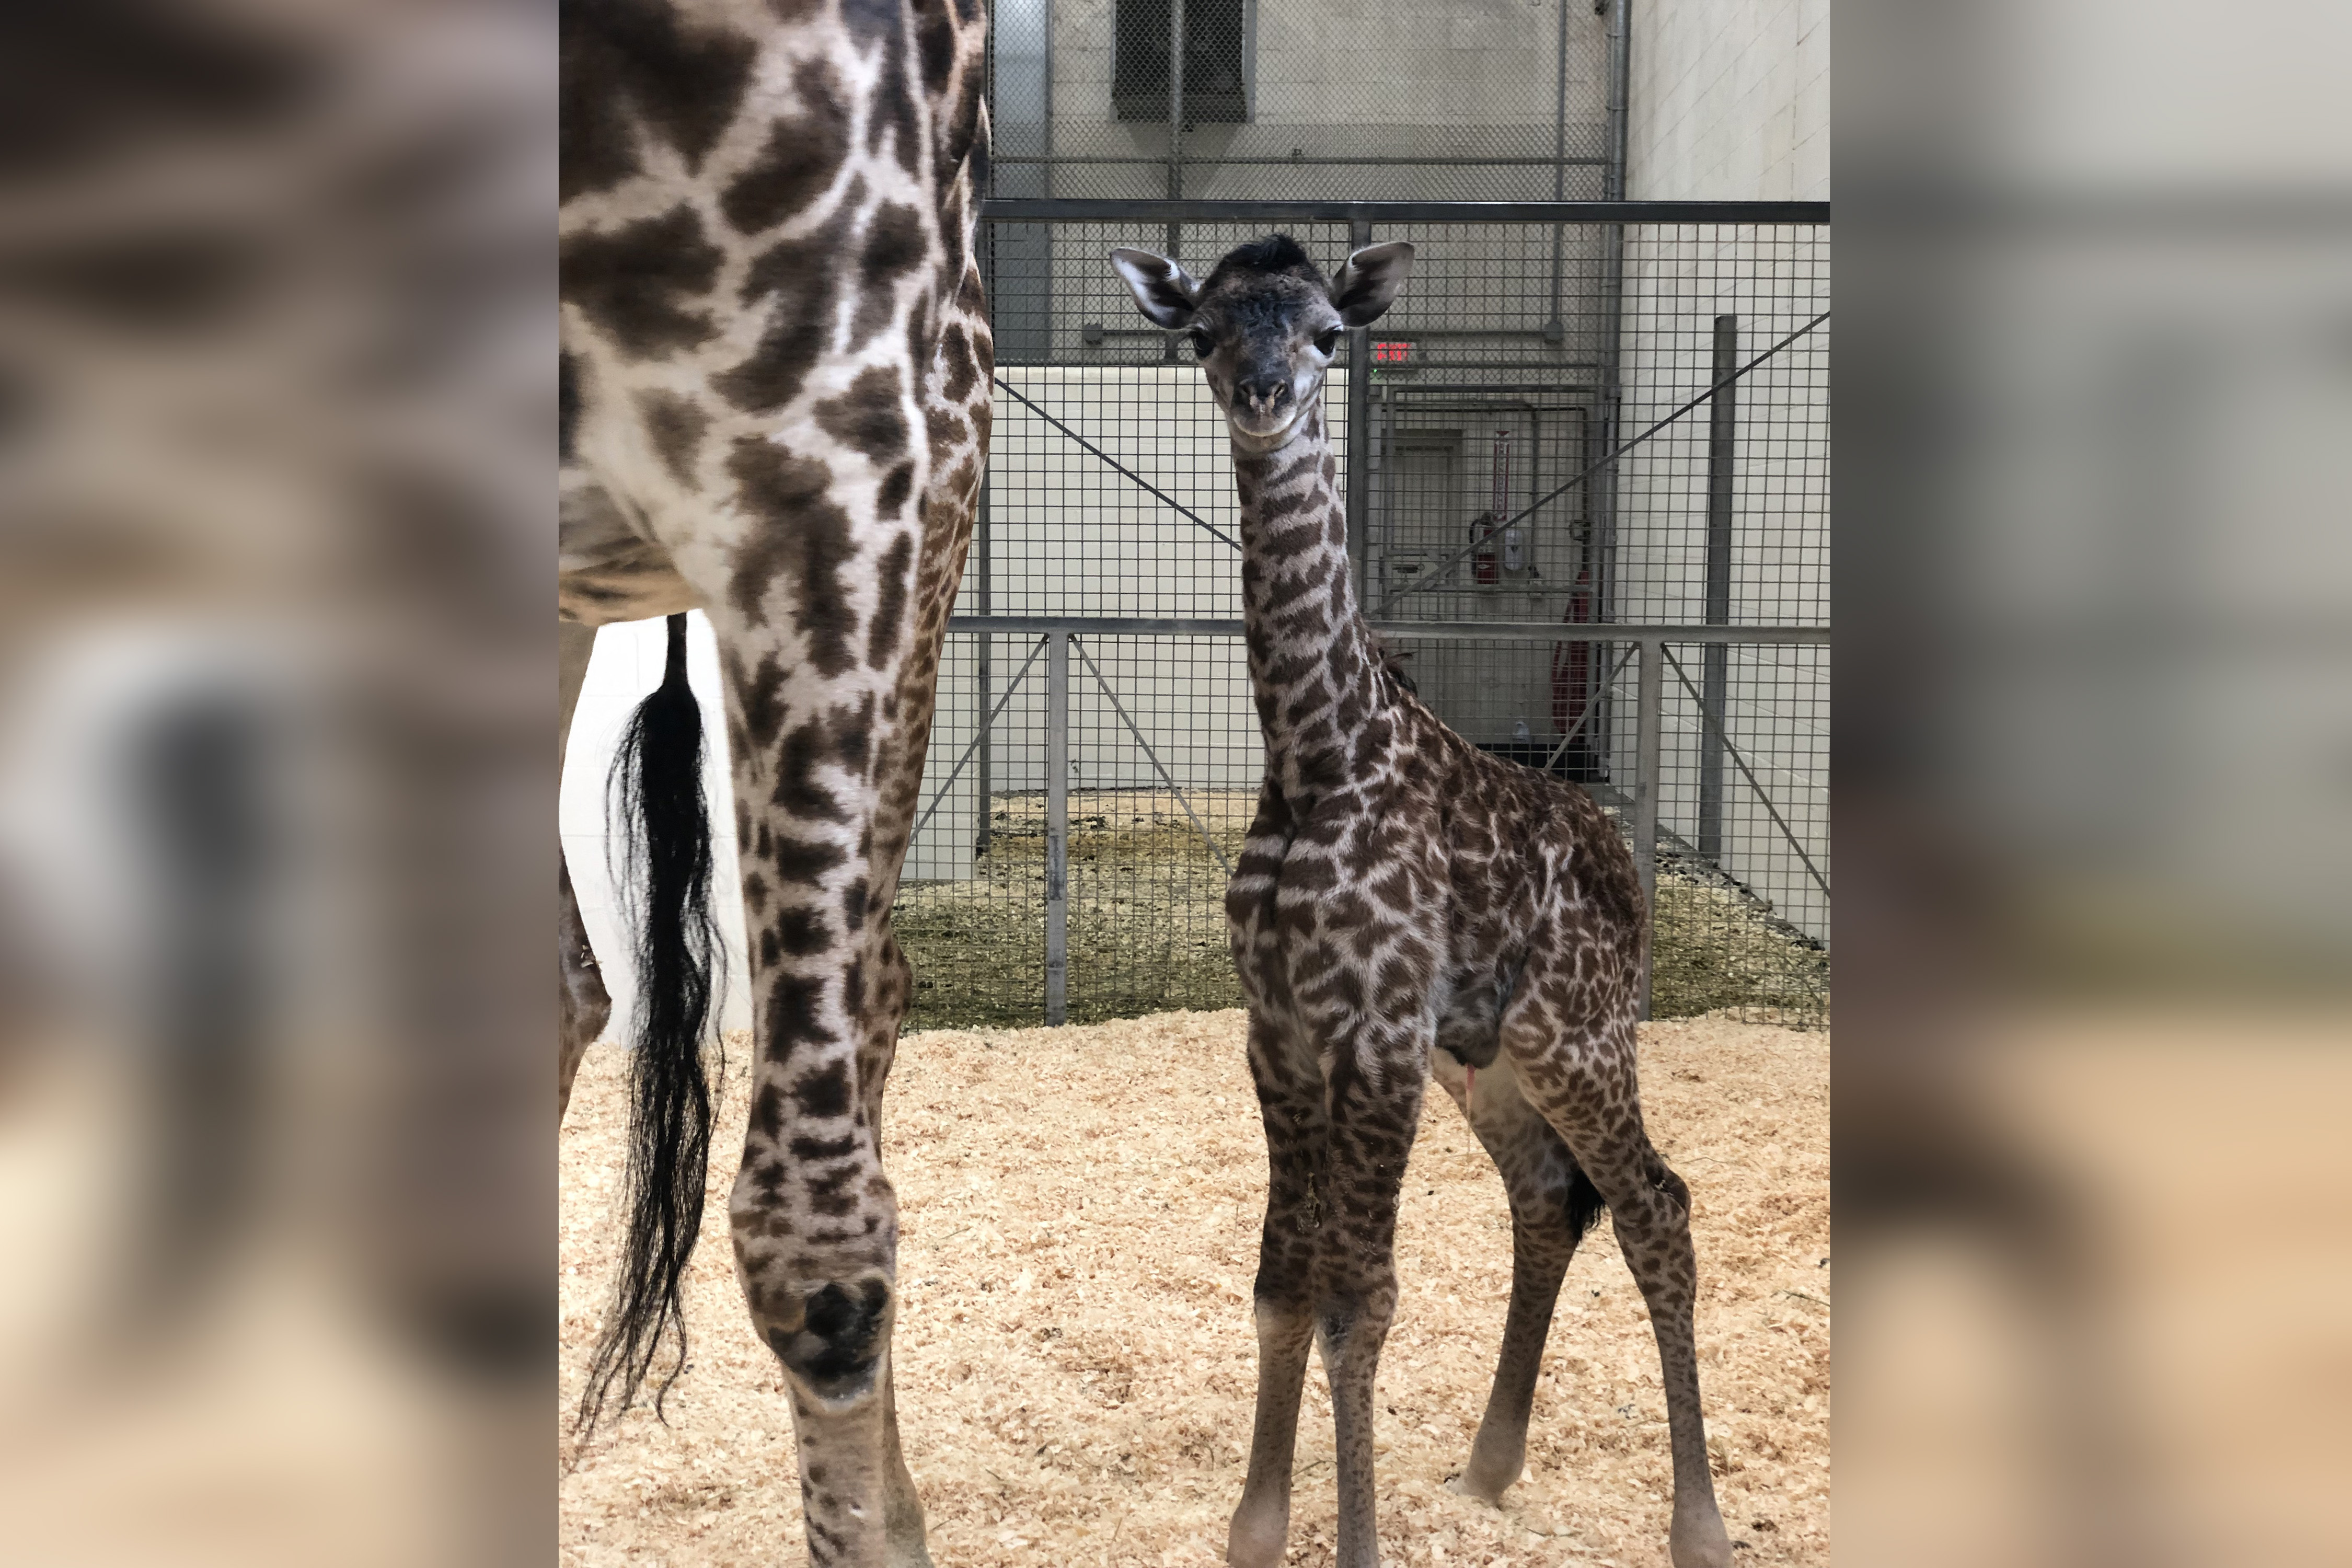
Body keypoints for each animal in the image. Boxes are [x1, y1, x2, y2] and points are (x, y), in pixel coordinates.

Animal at [1110, 233, 1740, 1568]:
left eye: (1325, 335)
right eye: (1204, 332)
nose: (1264, 396)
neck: (1317, 759)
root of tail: (1623, 867)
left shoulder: (1376, 1033)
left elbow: (1363, 1301)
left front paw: (1347, 1543)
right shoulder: (1281, 1035)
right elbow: (1281, 1284)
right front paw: (1253, 1529)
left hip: (1576, 1037)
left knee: (1654, 1203)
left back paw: (1699, 1525)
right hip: (1489, 1060)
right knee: (1548, 1198)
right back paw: (1489, 1466)